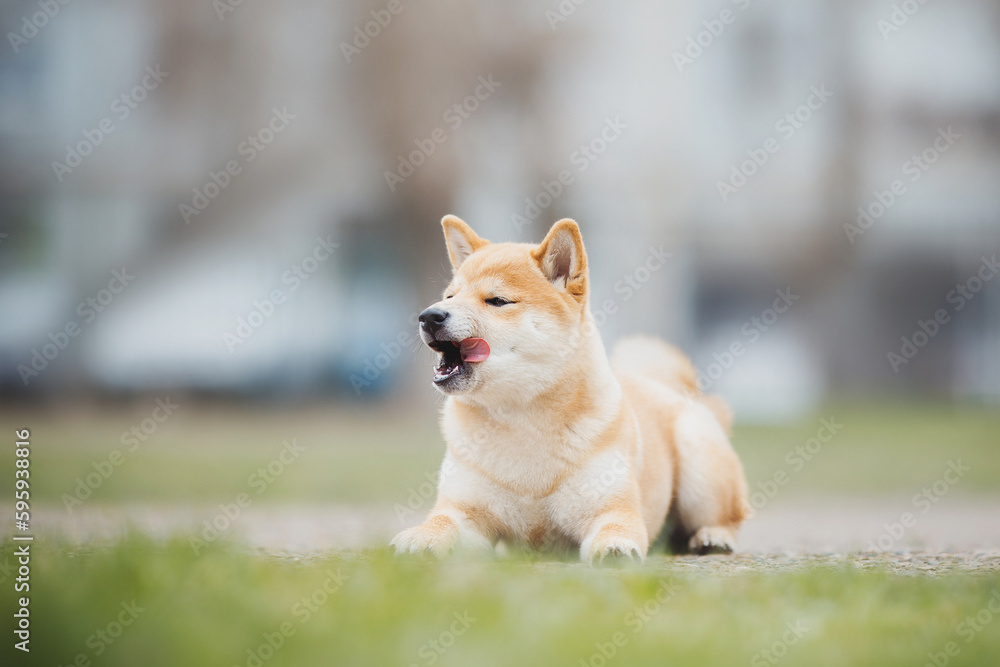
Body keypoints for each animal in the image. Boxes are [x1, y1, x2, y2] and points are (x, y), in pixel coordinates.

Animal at [392, 217, 752, 560]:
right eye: (450, 296)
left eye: (497, 300)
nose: (429, 316)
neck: (520, 420)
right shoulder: (465, 510)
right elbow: (441, 521)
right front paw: (420, 537)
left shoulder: (611, 508)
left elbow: (616, 528)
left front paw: (615, 548)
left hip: (698, 460)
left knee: (727, 518)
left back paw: (712, 538)